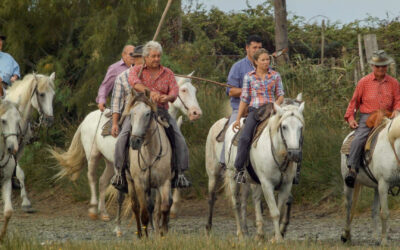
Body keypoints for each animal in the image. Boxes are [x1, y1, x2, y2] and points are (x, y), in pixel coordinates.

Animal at [4, 73, 55, 212]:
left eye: (53, 95)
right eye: (41, 94)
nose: (49, 120)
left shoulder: (19, 148)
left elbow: (19, 172)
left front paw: (26, 202)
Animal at [50, 73, 200, 222]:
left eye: (195, 90)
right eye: (183, 90)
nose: (196, 113)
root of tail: (86, 119)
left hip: (111, 162)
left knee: (102, 181)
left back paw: (103, 212)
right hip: (93, 156)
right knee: (92, 177)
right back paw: (93, 209)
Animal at [206, 94, 304, 232]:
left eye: (301, 127)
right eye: (284, 126)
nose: (294, 154)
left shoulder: (285, 183)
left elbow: (286, 200)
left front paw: (281, 229)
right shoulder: (264, 182)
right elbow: (266, 206)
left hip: (245, 180)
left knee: (242, 202)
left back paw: (246, 230)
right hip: (217, 173)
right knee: (217, 198)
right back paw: (211, 228)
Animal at [340, 114, 400, 246]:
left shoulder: (381, 186)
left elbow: (378, 211)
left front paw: (381, 239)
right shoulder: (383, 184)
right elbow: (385, 213)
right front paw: (384, 242)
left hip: (376, 186)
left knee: (374, 210)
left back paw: (375, 237)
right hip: (348, 183)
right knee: (348, 206)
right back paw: (346, 236)